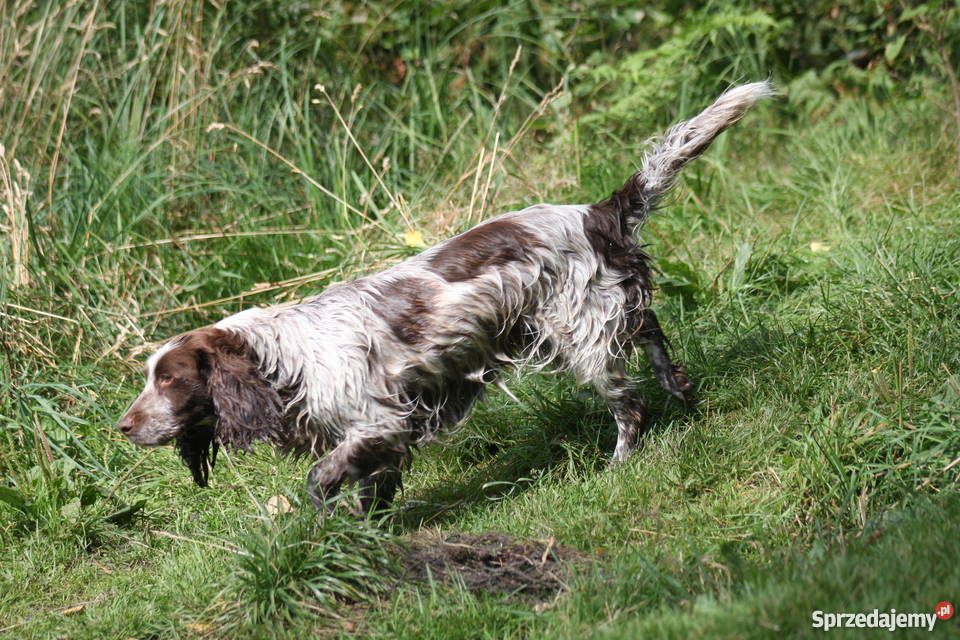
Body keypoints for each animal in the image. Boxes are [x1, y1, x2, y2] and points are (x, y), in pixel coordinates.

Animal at [116, 82, 772, 512]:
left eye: (169, 380)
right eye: (152, 379)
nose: (121, 427)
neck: (281, 360)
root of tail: (596, 213)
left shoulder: (381, 421)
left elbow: (322, 479)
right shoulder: (383, 433)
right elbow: (369, 491)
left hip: (580, 338)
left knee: (628, 403)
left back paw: (620, 462)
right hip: (585, 320)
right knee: (651, 327)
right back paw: (678, 388)